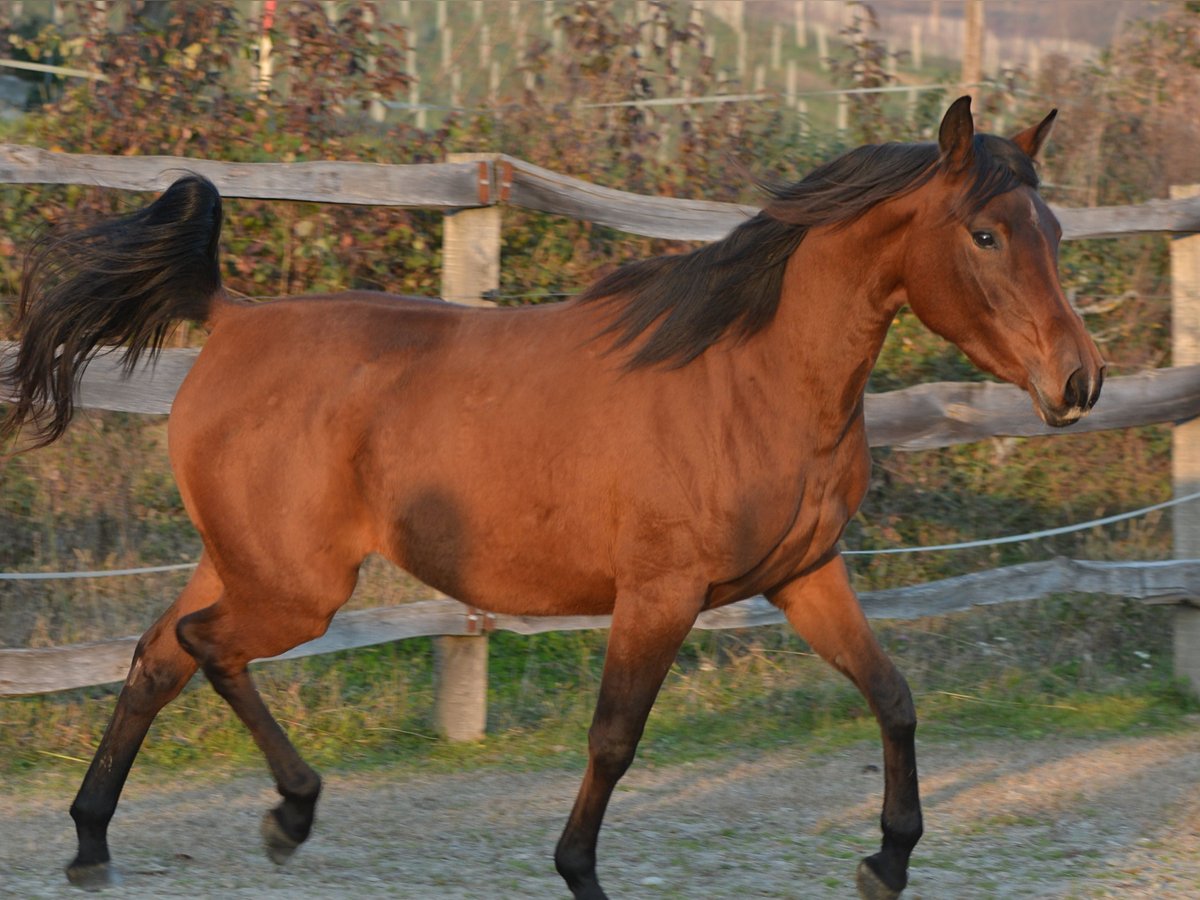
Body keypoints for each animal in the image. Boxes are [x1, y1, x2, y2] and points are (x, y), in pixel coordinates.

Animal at [2, 95, 1104, 897]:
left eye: (1051, 227)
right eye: (986, 235)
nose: (1079, 381)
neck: (750, 378)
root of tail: (230, 318)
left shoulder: (805, 577)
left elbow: (895, 696)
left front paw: (888, 858)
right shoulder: (659, 593)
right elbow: (615, 739)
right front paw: (580, 873)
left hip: (247, 563)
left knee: (158, 656)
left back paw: (95, 844)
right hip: (295, 588)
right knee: (204, 649)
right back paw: (290, 811)